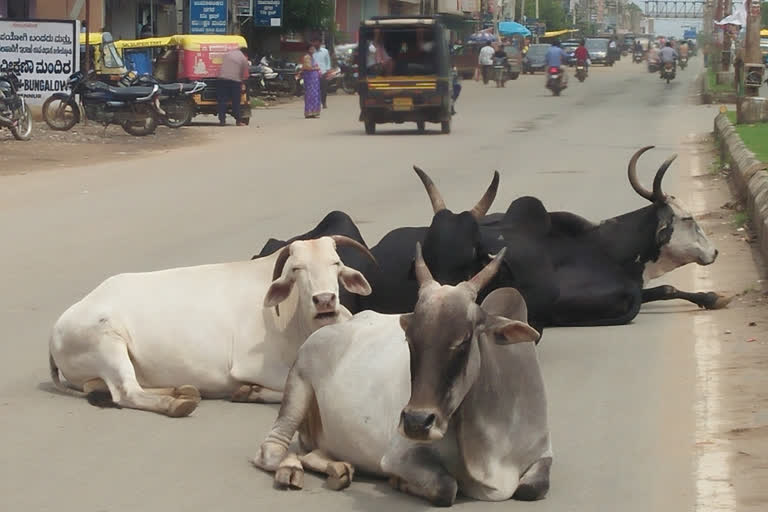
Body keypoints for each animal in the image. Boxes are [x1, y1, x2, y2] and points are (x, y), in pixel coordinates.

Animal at [46, 236, 376, 416]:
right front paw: (250, 392)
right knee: (126, 392)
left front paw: (248, 392)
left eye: (335, 263)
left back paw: (183, 390)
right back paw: (176, 404)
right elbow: (295, 389)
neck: (294, 320)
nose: (325, 300)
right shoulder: (253, 366)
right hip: (107, 342)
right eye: (297, 269)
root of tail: (55, 331)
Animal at [254, 245, 552, 508]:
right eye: (409, 339)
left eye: (464, 341)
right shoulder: (399, 456)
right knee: (272, 450)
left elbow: (531, 489)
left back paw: (339, 469)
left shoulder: (544, 454)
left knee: (312, 454)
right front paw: (400, 482)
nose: (416, 423)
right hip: (298, 383)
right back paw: (290, 469)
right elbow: (446, 487)